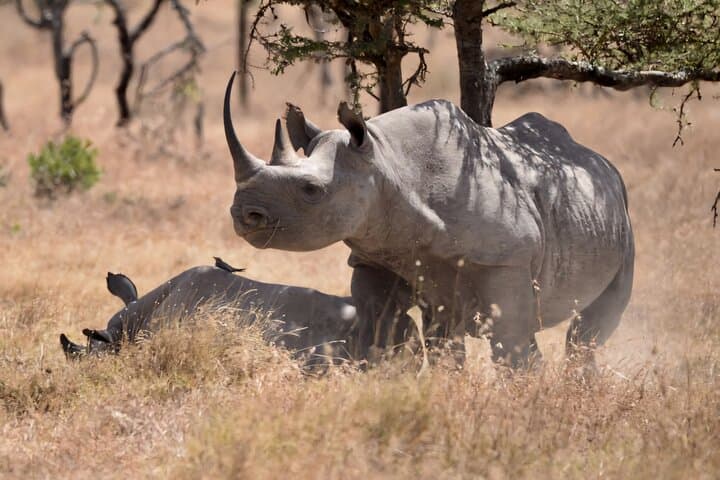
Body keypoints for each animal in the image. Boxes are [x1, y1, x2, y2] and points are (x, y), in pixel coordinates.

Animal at [223, 72, 635, 367]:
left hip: (621, 221)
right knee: (448, 331)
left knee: (586, 331)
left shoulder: (506, 260)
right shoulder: (377, 252)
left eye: (310, 189)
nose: (243, 214)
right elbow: (384, 329)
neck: (389, 166)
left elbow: (511, 344)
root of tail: (603, 165)